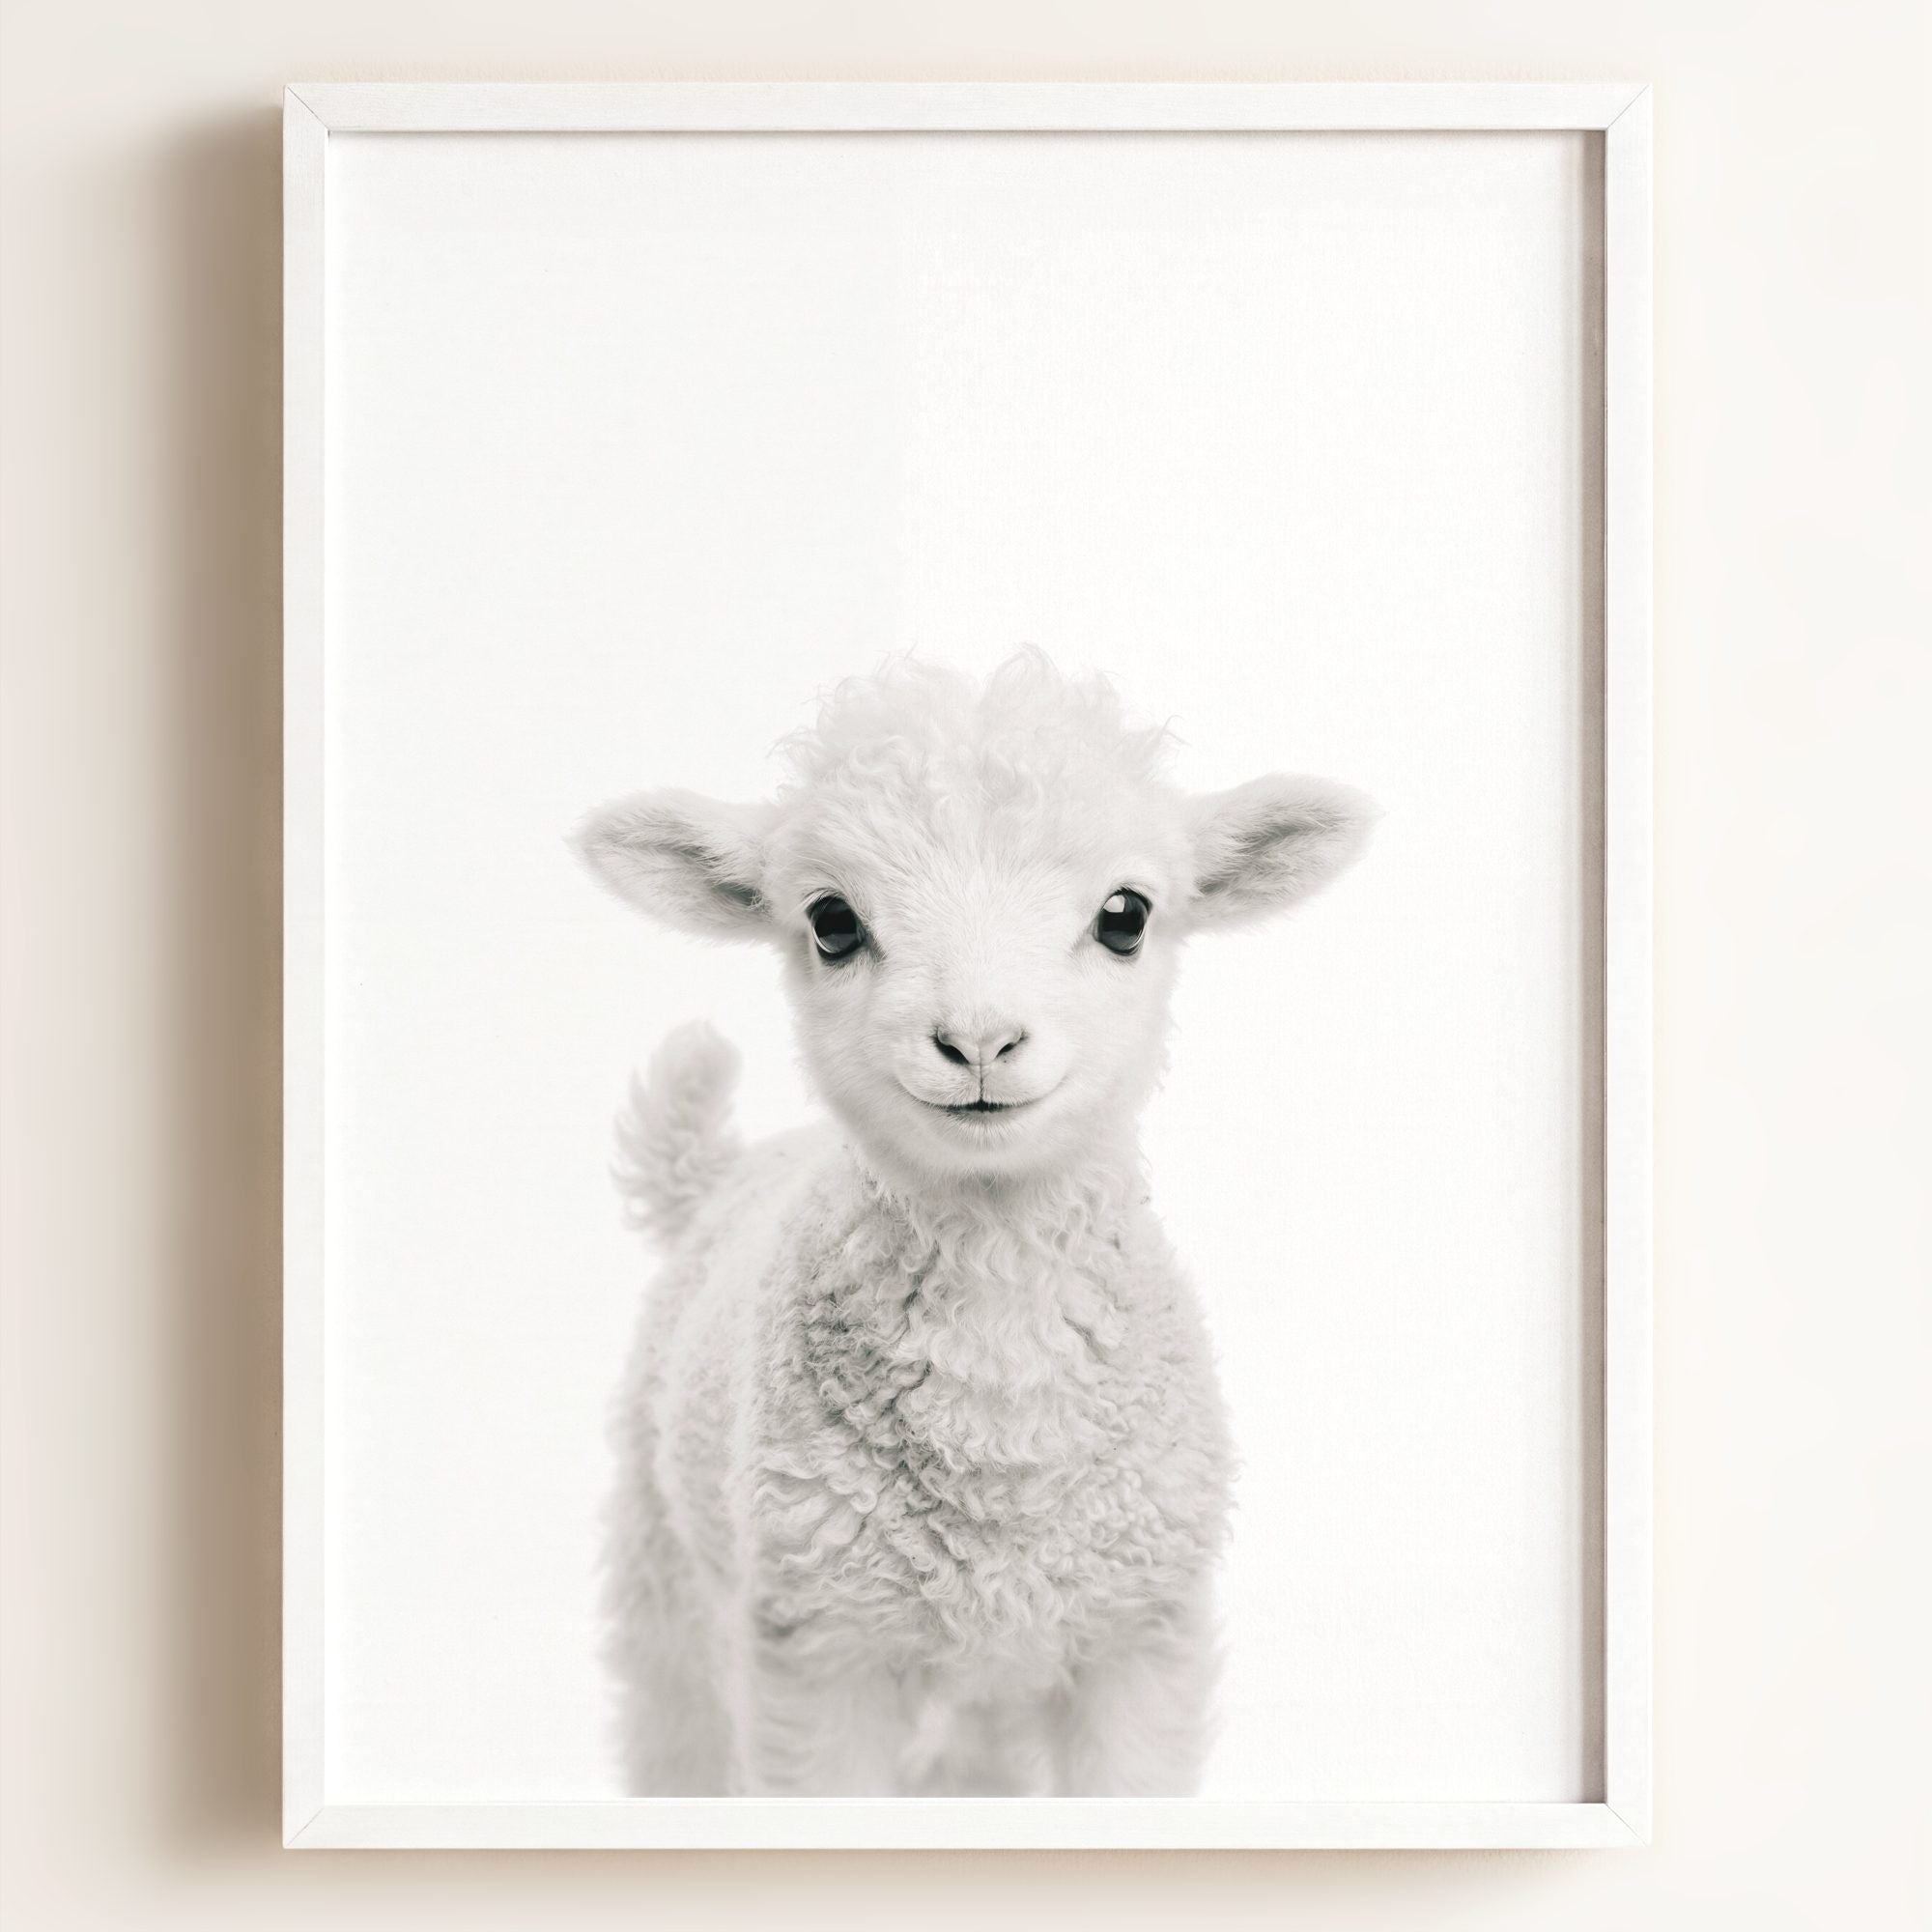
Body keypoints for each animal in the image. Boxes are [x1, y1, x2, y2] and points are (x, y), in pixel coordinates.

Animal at [575, 651, 1375, 1797]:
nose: (980, 1040)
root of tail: (725, 1170)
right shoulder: (818, 1652)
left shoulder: (1138, 1639)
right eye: (831, 921)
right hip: (668, 1576)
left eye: (1126, 914)